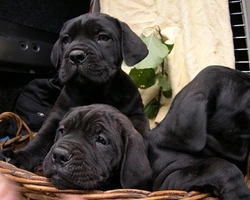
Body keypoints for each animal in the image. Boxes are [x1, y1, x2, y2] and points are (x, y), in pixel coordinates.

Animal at [0, 12, 149, 172]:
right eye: (66, 40)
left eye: (103, 37)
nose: (76, 55)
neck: (95, 90)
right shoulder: (57, 116)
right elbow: (40, 139)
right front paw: (20, 156)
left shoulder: (137, 115)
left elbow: (139, 132)